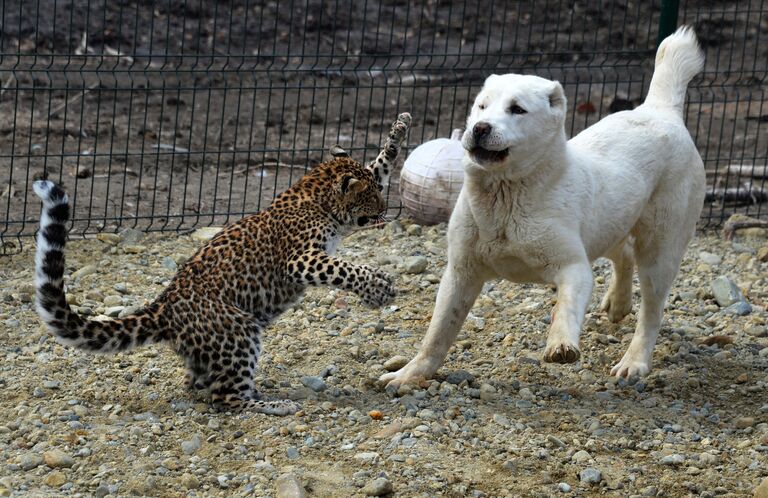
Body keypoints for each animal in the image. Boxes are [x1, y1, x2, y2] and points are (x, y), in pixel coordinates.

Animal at [380, 25, 704, 388]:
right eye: (481, 106)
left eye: (517, 109)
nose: (480, 128)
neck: (506, 197)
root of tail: (660, 110)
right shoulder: (460, 274)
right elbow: (438, 332)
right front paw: (410, 374)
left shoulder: (573, 267)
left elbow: (566, 307)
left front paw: (560, 344)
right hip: (609, 222)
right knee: (622, 253)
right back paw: (618, 303)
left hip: (660, 251)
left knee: (651, 310)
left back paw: (634, 362)